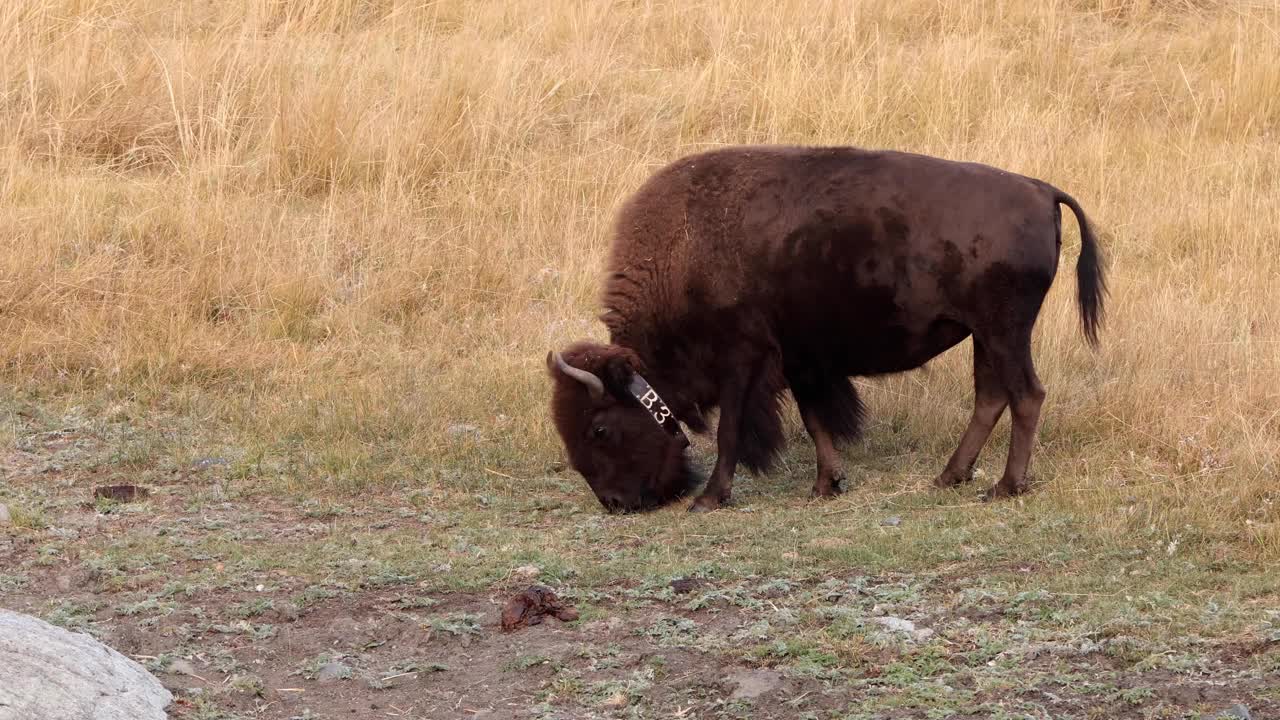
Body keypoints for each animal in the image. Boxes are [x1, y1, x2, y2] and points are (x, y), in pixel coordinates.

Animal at [545, 144, 1105, 509]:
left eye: (599, 428)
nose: (615, 503)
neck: (687, 247)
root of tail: (1042, 191)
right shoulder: (800, 361)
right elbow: (816, 420)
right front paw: (825, 485)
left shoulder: (743, 358)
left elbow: (731, 430)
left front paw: (710, 498)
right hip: (986, 337)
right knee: (991, 398)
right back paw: (950, 477)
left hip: (1005, 332)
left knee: (1026, 395)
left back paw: (1005, 487)